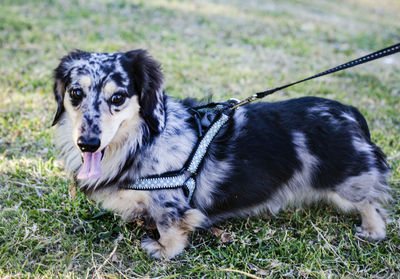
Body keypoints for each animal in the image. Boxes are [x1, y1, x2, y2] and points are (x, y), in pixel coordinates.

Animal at [52, 49, 390, 260]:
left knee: (371, 202)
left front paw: (162, 250)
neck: (142, 140)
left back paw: (372, 230)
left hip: (349, 182)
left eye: (118, 97)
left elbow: (170, 228)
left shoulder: (169, 203)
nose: (88, 143)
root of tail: (351, 113)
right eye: (76, 93)